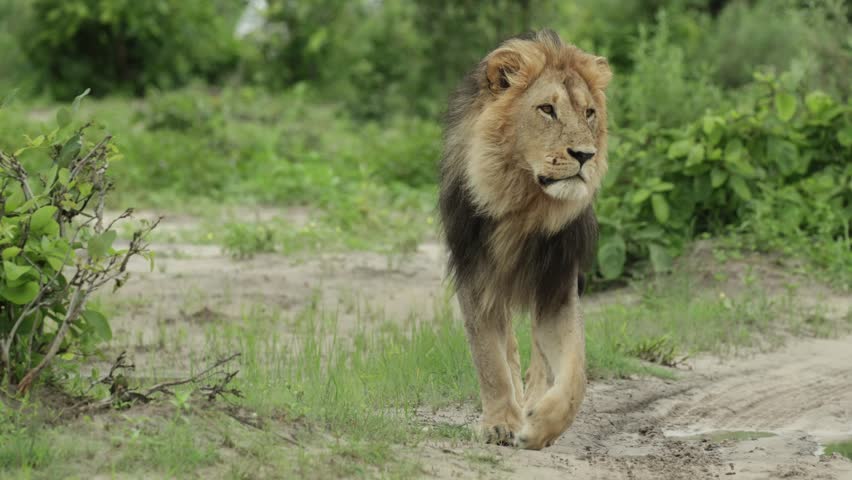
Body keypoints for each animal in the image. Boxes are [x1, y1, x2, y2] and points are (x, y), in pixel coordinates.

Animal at [438, 30, 611, 450]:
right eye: (547, 109)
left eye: (589, 113)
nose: (585, 155)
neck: (524, 204)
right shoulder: (475, 278)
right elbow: (490, 359)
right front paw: (501, 422)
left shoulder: (557, 287)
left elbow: (575, 374)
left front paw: (542, 424)